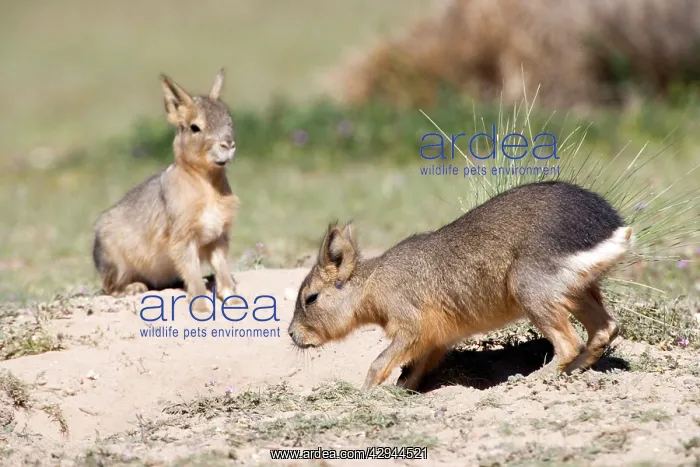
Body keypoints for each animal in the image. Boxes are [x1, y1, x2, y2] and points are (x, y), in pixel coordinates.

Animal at [92, 69, 239, 313]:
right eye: (195, 127)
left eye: (230, 121)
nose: (228, 145)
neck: (207, 186)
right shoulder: (182, 240)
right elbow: (192, 274)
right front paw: (201, 307)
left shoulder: (217, 237)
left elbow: (222, 270)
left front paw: (233, 299)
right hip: (116, 264)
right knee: (110, 288)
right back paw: (134, 287)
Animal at [287, 180, 633, 390]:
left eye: (311, 298)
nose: (291, 334)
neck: (374, 283)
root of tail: (613, 226)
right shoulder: (437, 339)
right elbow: (411, 372)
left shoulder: (411, 326)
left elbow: (379, 364)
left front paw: (365, 394)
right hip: (580, 290)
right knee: (605, 329)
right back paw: (574, 372)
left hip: (532, 291)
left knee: (569, 343)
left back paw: (528, 380)